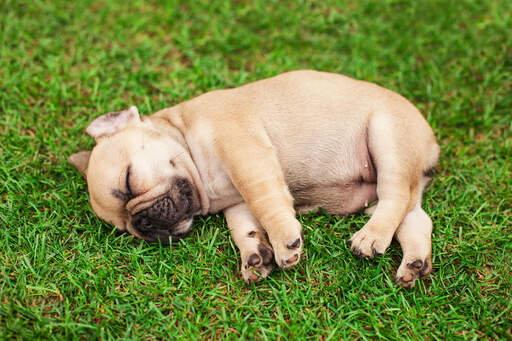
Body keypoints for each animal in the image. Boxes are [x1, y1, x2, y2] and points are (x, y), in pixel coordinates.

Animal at [69, 69, 440, 286]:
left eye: (130, 182)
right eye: (125, 229)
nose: (143, 223)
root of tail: (432, 143)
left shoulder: (244, 154)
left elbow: (264, 200)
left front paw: (284, 241)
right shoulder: (236, 203)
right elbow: (243, 226)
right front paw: (254, 255)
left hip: (387, 137)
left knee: (395, 197)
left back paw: (370, 237)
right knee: (414, 215)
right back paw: (414, 263)